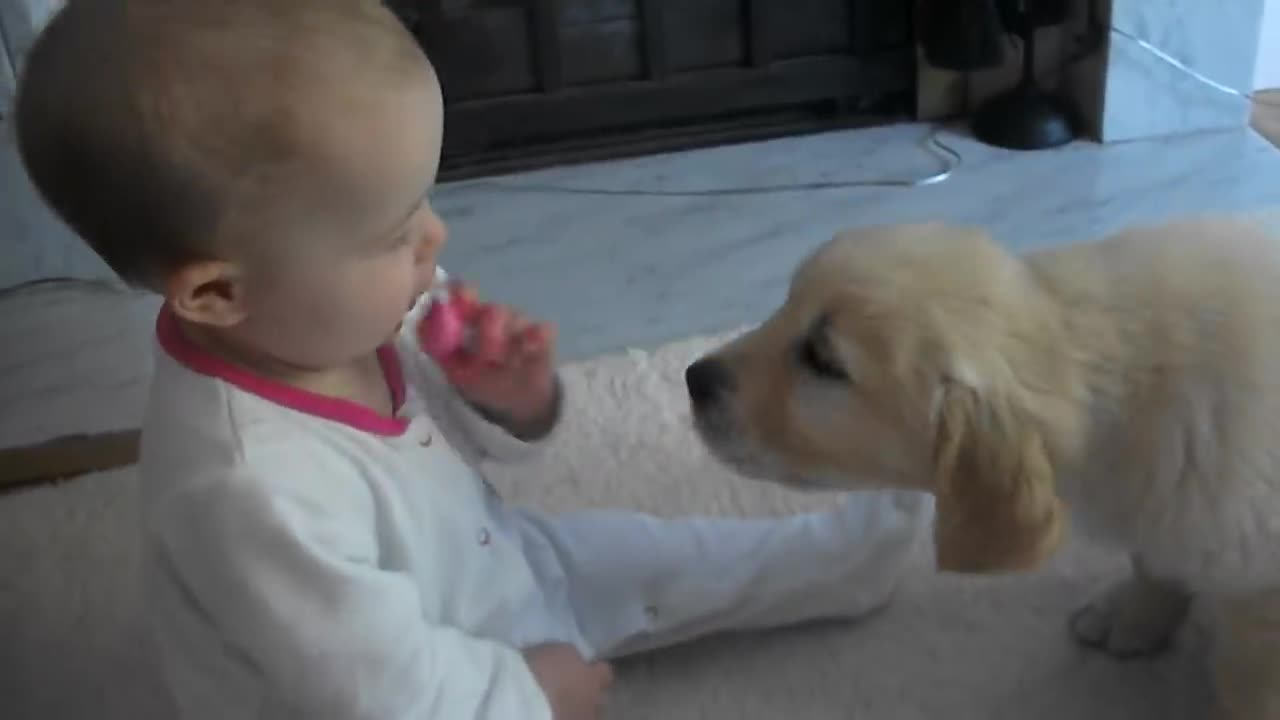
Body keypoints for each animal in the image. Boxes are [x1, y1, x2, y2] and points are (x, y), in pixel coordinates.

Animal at [691, 219, 1280, 717]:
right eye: (787, 303)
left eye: (823, 361)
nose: (693, 378)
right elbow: (1153, 560)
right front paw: (1134, 615)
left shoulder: (1256, 594)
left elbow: (1245, 682)